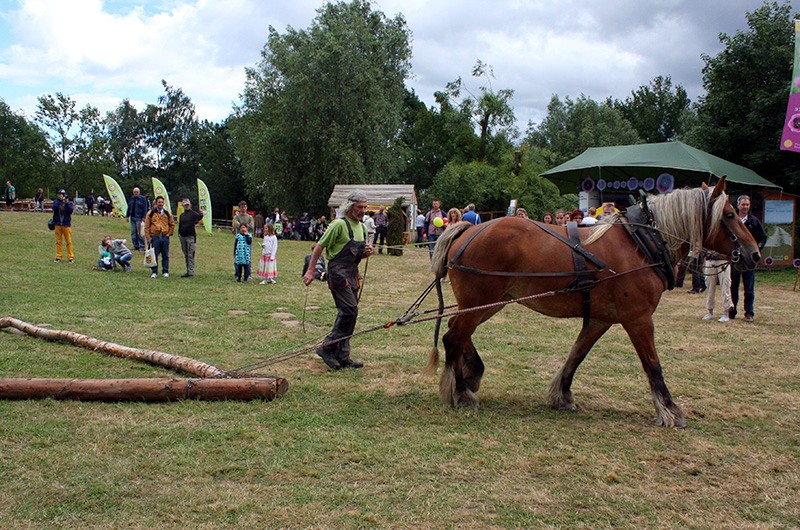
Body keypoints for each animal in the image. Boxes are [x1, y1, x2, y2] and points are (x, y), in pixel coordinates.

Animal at [432, 177, 764, 424]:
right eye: (730, 215)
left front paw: (562, 395)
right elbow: (653, 364)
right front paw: (669, 409)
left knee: (455, 331)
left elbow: (576, 355)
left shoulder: (600, 319)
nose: (755, 254)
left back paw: (471, 374)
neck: (641, 243)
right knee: (454, 337)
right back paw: (460, 392)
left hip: (492, 301)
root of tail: (467, 229)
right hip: (483, 301)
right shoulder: (638, 319)